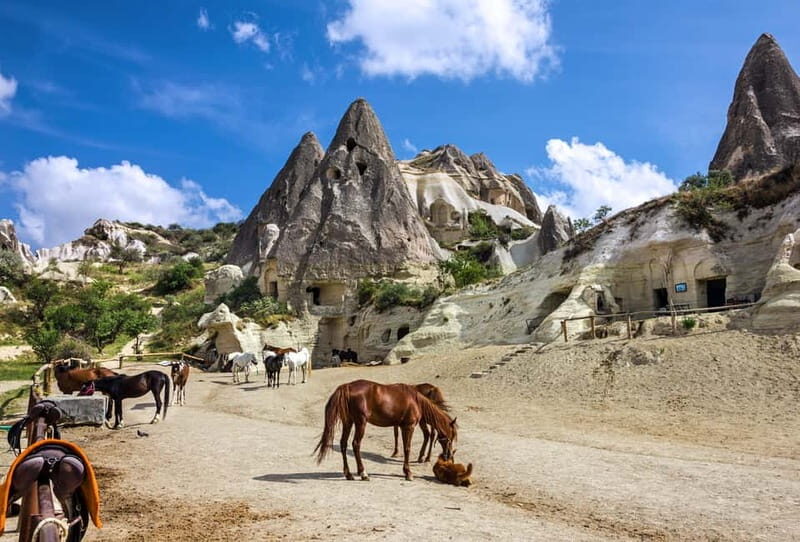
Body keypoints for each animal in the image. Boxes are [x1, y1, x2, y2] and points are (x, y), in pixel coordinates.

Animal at [314, 380, 457, 481]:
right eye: (451, 438)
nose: (449, 457)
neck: (415, 400)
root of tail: (347, 387)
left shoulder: (401, 426)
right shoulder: (408, 427)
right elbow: (407, 448)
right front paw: (408, 473)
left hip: (348, 423)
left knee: (343, 444)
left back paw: (349, 474)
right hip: (360, 423)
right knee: (355, 444)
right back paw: (363, 473)